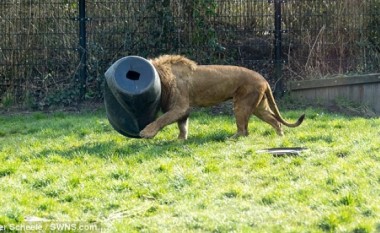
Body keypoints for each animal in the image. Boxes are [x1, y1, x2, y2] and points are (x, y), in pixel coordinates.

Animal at [139, 55, 302, 138]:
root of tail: (264, 79)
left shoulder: (180, 106)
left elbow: (162, 119)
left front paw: (146, 133)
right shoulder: (182, 109)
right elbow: (182, 126)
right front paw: (180, 140)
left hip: (241, 105)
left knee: (243, 130)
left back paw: (230, 139)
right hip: (259, 107)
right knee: (274, 121)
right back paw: (280, 137)